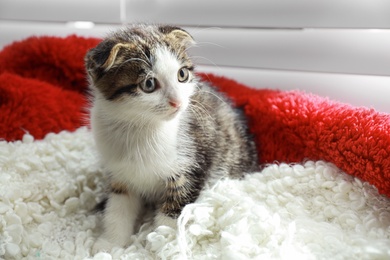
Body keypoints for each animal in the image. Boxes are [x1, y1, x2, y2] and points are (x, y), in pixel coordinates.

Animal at [86, 23, 258, 252]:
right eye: (148, 84)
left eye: (182, 74)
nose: (177, 102)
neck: (142, 127)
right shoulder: (119, 173)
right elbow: (118, 207)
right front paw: (110, 243)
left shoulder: (192, 163)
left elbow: (175, 205)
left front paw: (163, 242)